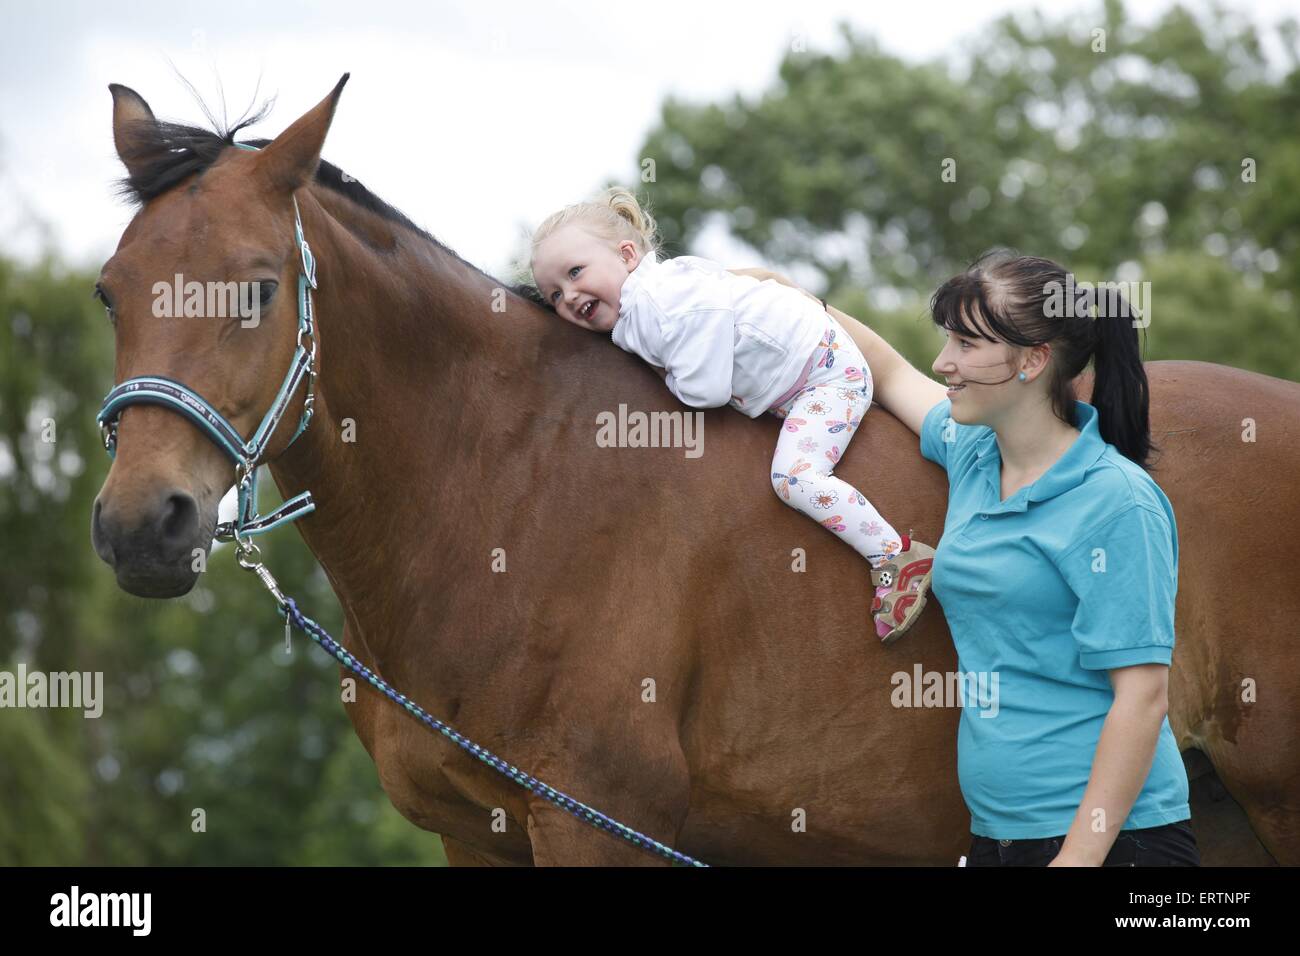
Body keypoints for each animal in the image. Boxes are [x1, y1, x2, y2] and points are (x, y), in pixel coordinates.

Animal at [94, 74, 1300, 868]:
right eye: (111, 290)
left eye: (257, 288)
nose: (140, 525)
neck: (504, 478)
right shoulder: (478, 835)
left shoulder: (597, 821)